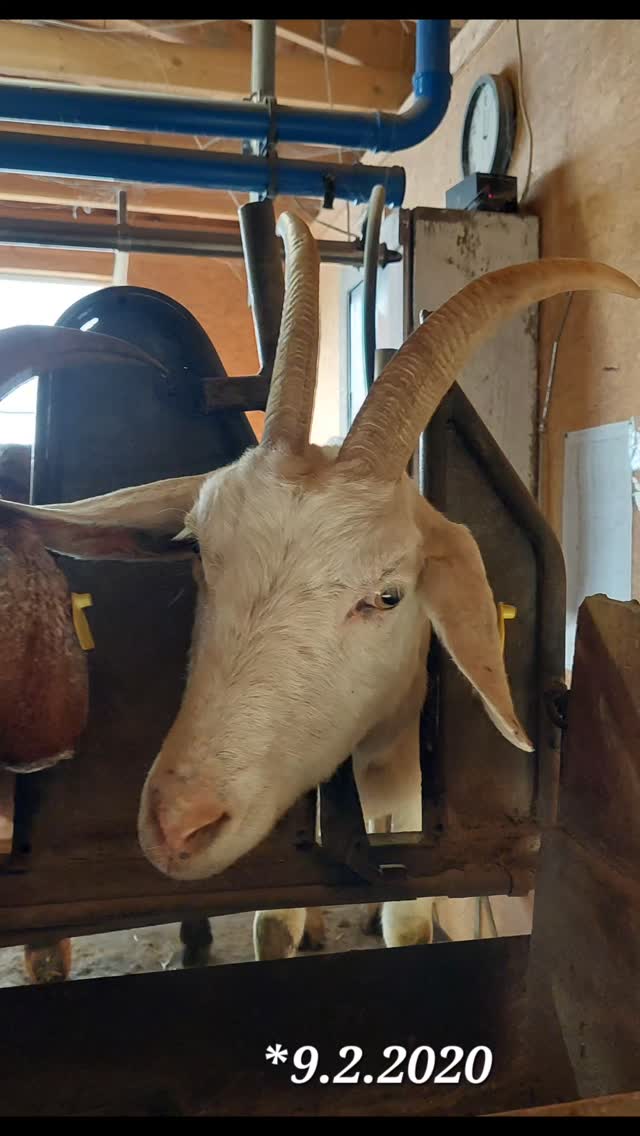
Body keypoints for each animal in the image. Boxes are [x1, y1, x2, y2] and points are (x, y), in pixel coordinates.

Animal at [1, 215, 638, 960]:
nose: (180, 823)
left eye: (388, 597)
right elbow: (273, 922)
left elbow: (409, 915)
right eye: (200, 556)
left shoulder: (400, 766)